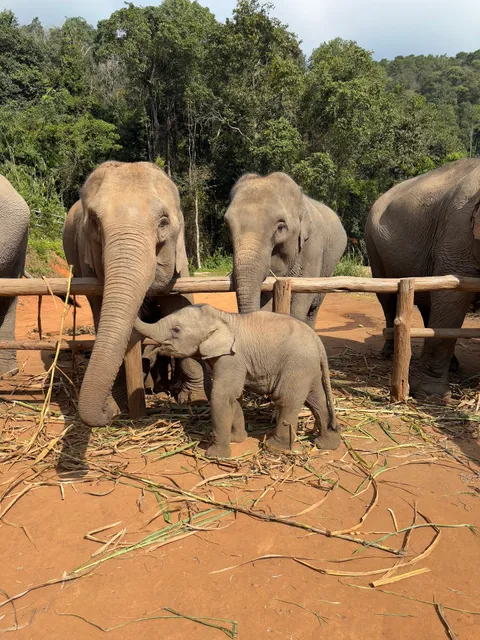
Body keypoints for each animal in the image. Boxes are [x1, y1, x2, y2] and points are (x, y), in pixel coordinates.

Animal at [63, 160, 203, 427]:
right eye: (94, 222)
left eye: (163, 222)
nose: (106, 414)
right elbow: (100, 313)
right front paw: (117, 405)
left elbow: (178, 304)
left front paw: (194, 399)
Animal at [134, 304, 340, 459]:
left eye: (176, 330)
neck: (222, 317)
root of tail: (318, 341)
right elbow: (234, 398)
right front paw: (237, 439)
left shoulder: (232, 358)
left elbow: (221, 396)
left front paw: (215, 456)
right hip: (309, 369)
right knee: (316, 400)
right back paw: (327, 444)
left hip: (297, 366)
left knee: (287, 401)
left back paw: (274, 447)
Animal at [225, 172, 347, 326]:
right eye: (227, 226)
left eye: (281, 227)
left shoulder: (313, 248)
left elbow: (299, 307)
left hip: (330, 266)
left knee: (313, 307)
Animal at [365, 158, 480, 399]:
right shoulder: (458, 231)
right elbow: (452, 293)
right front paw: (431, 394)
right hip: (373, 246)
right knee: (388, 299)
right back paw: (388, 354)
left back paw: (454, 366)